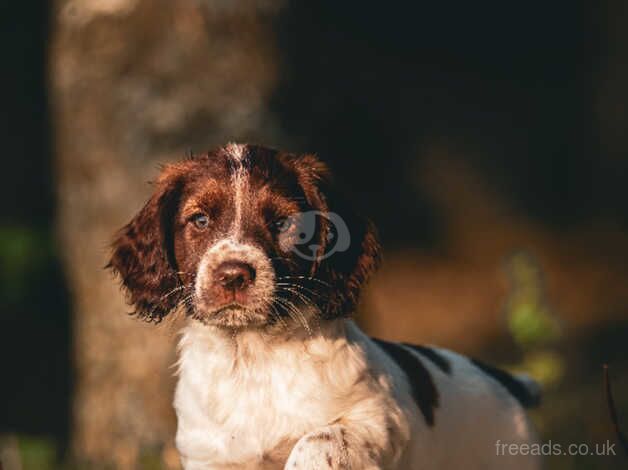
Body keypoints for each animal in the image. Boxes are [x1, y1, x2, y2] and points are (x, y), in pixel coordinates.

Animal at [108, 143, 540, 470]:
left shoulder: (382, 421)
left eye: (282, 224)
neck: (253, 358)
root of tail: (509, 383)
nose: (233, 275)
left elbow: (318, 439)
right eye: (199, 219)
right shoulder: (208, 454)